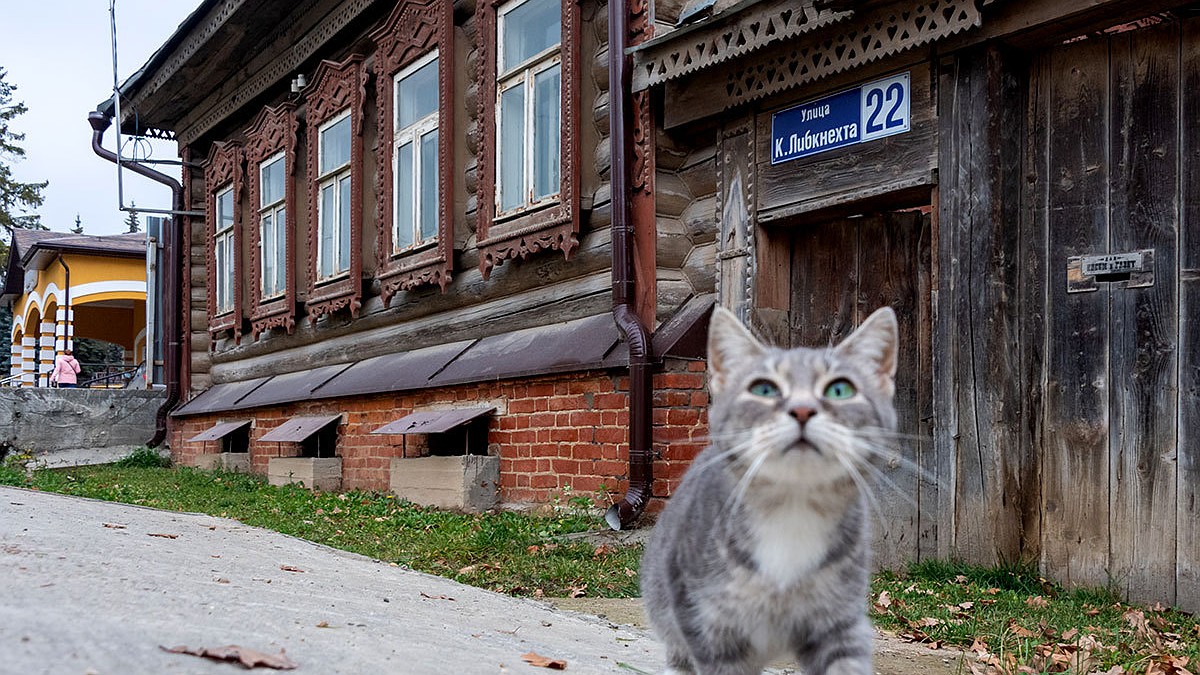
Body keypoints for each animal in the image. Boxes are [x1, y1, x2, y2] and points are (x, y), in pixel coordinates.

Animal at [643, 306, 897, 672]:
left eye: (840, 390)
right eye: (764, 389)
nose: (802, 410)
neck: (792, 509)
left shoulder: (840, 622)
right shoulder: (706, 626)